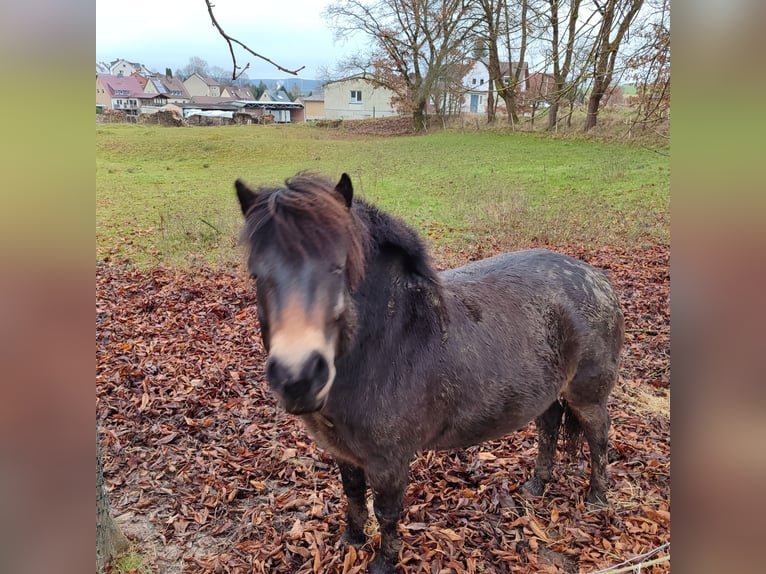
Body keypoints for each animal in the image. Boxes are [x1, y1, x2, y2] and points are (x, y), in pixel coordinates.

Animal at [237, 172, 628, 574]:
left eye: (338, 267)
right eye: (256, 273)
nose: (298, 378)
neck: (387, 343)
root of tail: (597, 277)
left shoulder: (390, 462)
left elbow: (387, 511)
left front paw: (383, 561)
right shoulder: (345, 453)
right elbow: (353, 494)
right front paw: (353, 539)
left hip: (587, 395)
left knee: (598, 436)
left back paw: (597, 498)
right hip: (546, 392)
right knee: (549, 427)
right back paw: (537, 485)